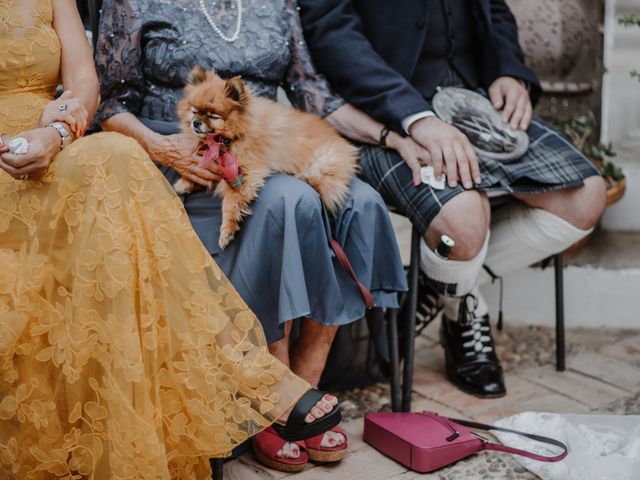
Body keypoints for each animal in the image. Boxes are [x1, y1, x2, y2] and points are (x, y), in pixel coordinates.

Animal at [175, 66, 360, 248]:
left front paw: (227, 230)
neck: (227, 141)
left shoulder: (245, 173)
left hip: (322, 164)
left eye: (213, 116)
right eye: (194, 111)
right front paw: (184, 183)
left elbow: (230, 203)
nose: (196, 122)